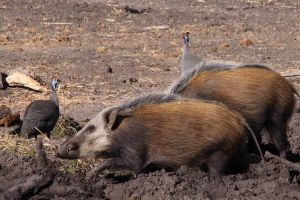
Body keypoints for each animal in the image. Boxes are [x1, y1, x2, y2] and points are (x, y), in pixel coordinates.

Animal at [56, 93, 262, 177]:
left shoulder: (135, 152)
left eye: (91, 127)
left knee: (218, 172)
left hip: (220, 153)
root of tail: (239, 119)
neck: (121, 132)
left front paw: (89, 176)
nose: (59, 149)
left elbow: (124, 164)